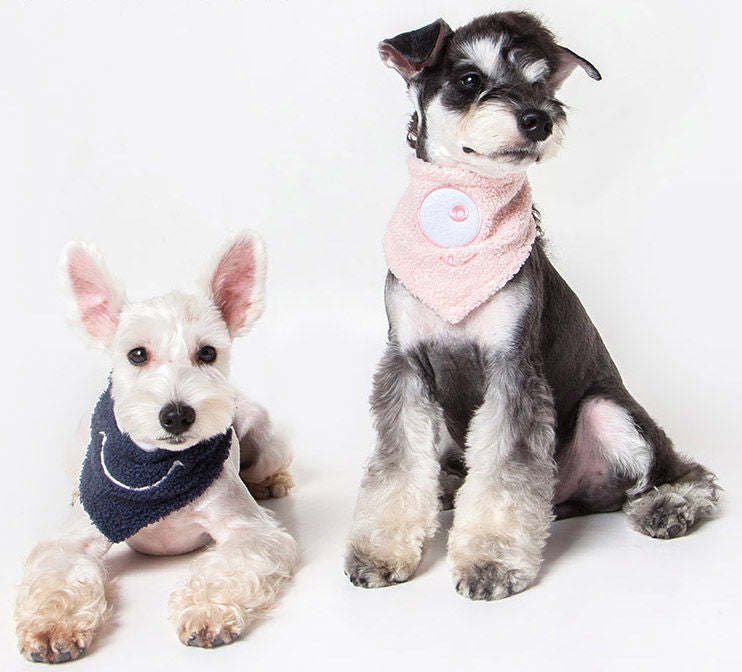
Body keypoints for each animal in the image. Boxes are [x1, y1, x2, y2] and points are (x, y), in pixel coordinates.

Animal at [15, 232, 297, 662]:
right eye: (137, 354)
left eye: (207, 352)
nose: (177, 415)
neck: (158, 468)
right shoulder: (72, 538)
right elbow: (58, 574)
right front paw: (52, 626)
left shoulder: (249, 530)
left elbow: (231, 564)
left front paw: (207, 611)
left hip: (265, 439)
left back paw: (270, 482)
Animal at [346, 11, 719, 600]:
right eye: (470, 79)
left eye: (544, 86)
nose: (538, 120)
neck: (465, 212)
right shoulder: (405, 367)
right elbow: (398, 464)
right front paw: (382, 551)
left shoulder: (514, 371)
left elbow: (503, 470)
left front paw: (491, 562)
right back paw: (453, 491)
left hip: (608, 410)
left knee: (678, 473)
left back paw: (669, 506)